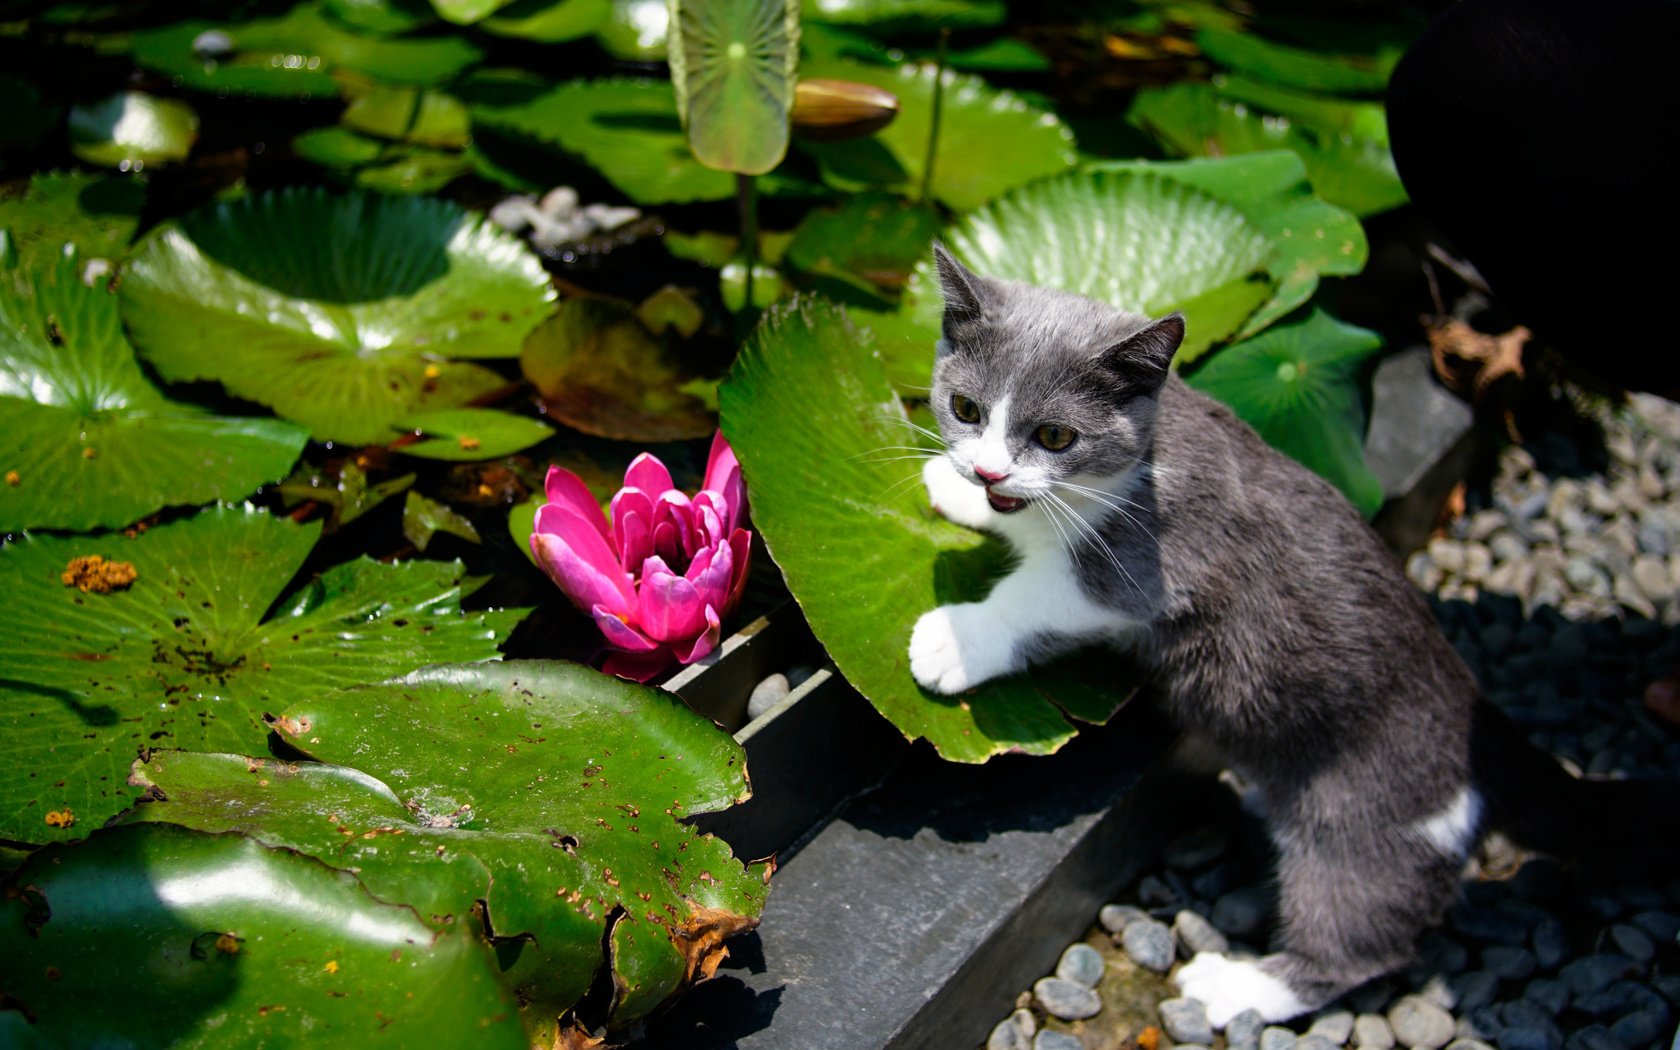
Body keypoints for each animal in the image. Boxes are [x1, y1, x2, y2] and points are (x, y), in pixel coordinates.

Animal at [913, 246, 1673, 1021]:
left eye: (1055, 436)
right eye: (965, 409)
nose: (987, 469)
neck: (1139, 461)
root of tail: (1479, 721)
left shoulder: (1154, 562)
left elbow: (1044, 595)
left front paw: (953, 640)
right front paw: (954, 489)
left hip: (1366, 818)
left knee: (1362, 934)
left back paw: (1238, 988)